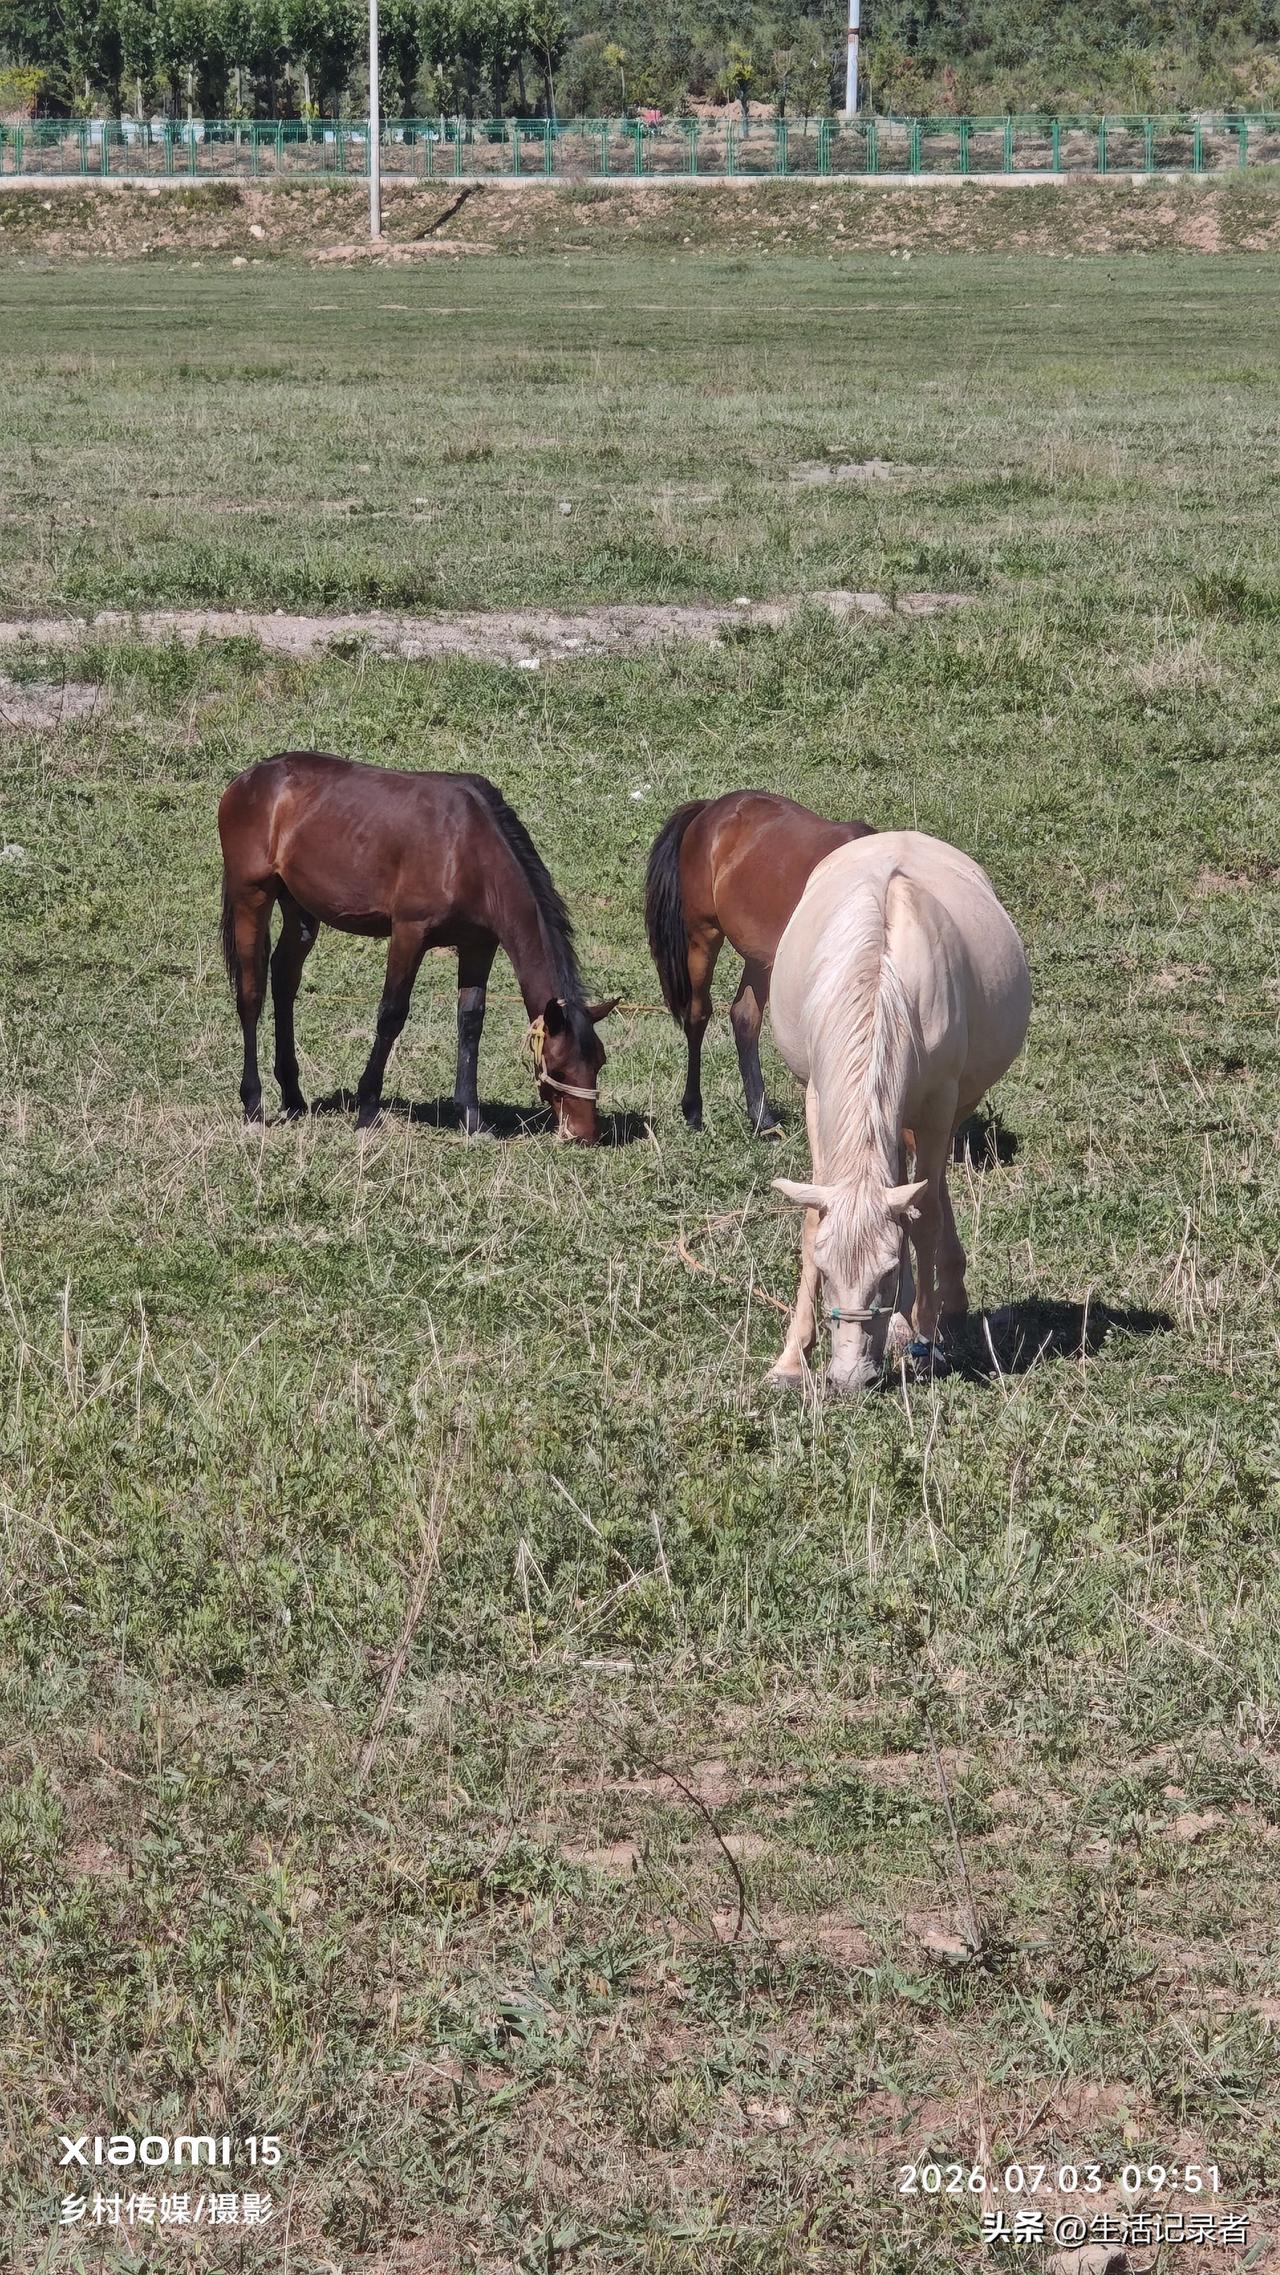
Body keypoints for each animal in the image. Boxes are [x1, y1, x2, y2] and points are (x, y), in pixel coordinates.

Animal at [217, 752, 616, 1141]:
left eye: (598, 1063)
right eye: (560, 1069)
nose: (584, 1135)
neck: (469, 849)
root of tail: (247, 780)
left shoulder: (478, 945)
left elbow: (470, 1021)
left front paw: (473, 1119)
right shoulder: (409, 934)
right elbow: (391, 1015)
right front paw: (367, 1111)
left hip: (300, 909)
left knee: (284, 979)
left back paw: (293, 1098)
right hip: (252, 896)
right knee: (251, 993)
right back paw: (253, 1107)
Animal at [644, 792, 873, 1136]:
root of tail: (711, 808)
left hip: (759, 959)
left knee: (744, 1018)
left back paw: (761, 1118)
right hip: (703, 937)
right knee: (698, 1015)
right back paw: (694, 1111)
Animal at [766, 831, 1031, 1396]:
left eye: (886, 1273)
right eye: (825, 1270)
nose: (850, 1379)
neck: (880, 977)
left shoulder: (938, 1105)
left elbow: (923, 1214)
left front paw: (927, 1342)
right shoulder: (818, 1099)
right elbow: (815, 1218)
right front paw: (792, 1359)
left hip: (952, 1108)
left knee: (928, 1192)